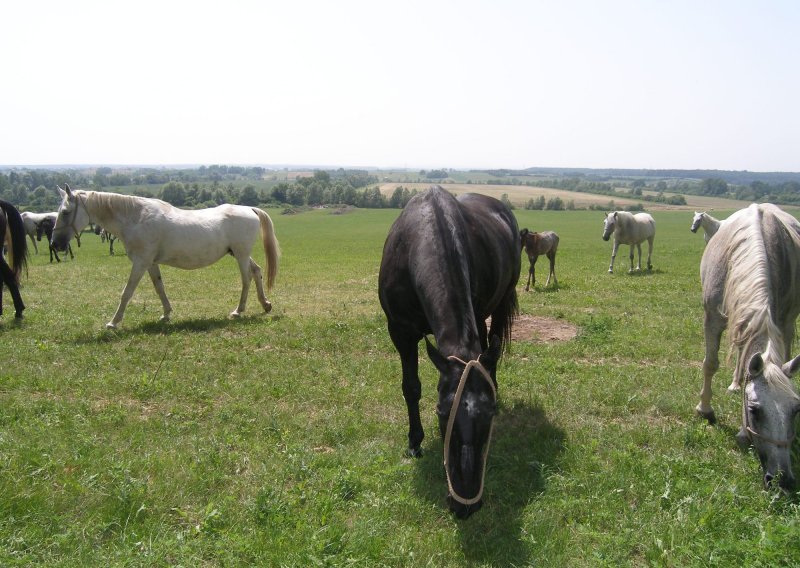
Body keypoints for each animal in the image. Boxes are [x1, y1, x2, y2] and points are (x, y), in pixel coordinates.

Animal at [50, 186, 282, 328]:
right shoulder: (150, 263)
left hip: (241, 255)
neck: (135, 218)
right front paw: (166, 314)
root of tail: (250, 209)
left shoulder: (140, 262)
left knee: (246, 279)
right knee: (257, 271)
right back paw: (265, 305)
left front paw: (113, 323)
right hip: (239, 254)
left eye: (65, 212)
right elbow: (159, 287)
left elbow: (127, 293)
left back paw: (238, 311)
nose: (55, 244)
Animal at [378, 186, 520, 520]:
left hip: (499, 303)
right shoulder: (400, 333)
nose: (465, 504)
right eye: (442, 411)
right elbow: (411, 388)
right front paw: (414, 442)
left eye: (488, 412)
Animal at [692, 204, 800, 492]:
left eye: (796, 410)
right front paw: (705, 409)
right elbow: (711, 364)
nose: (782, 479)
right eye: (754, 410)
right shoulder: (712, 317)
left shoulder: (784, 322)